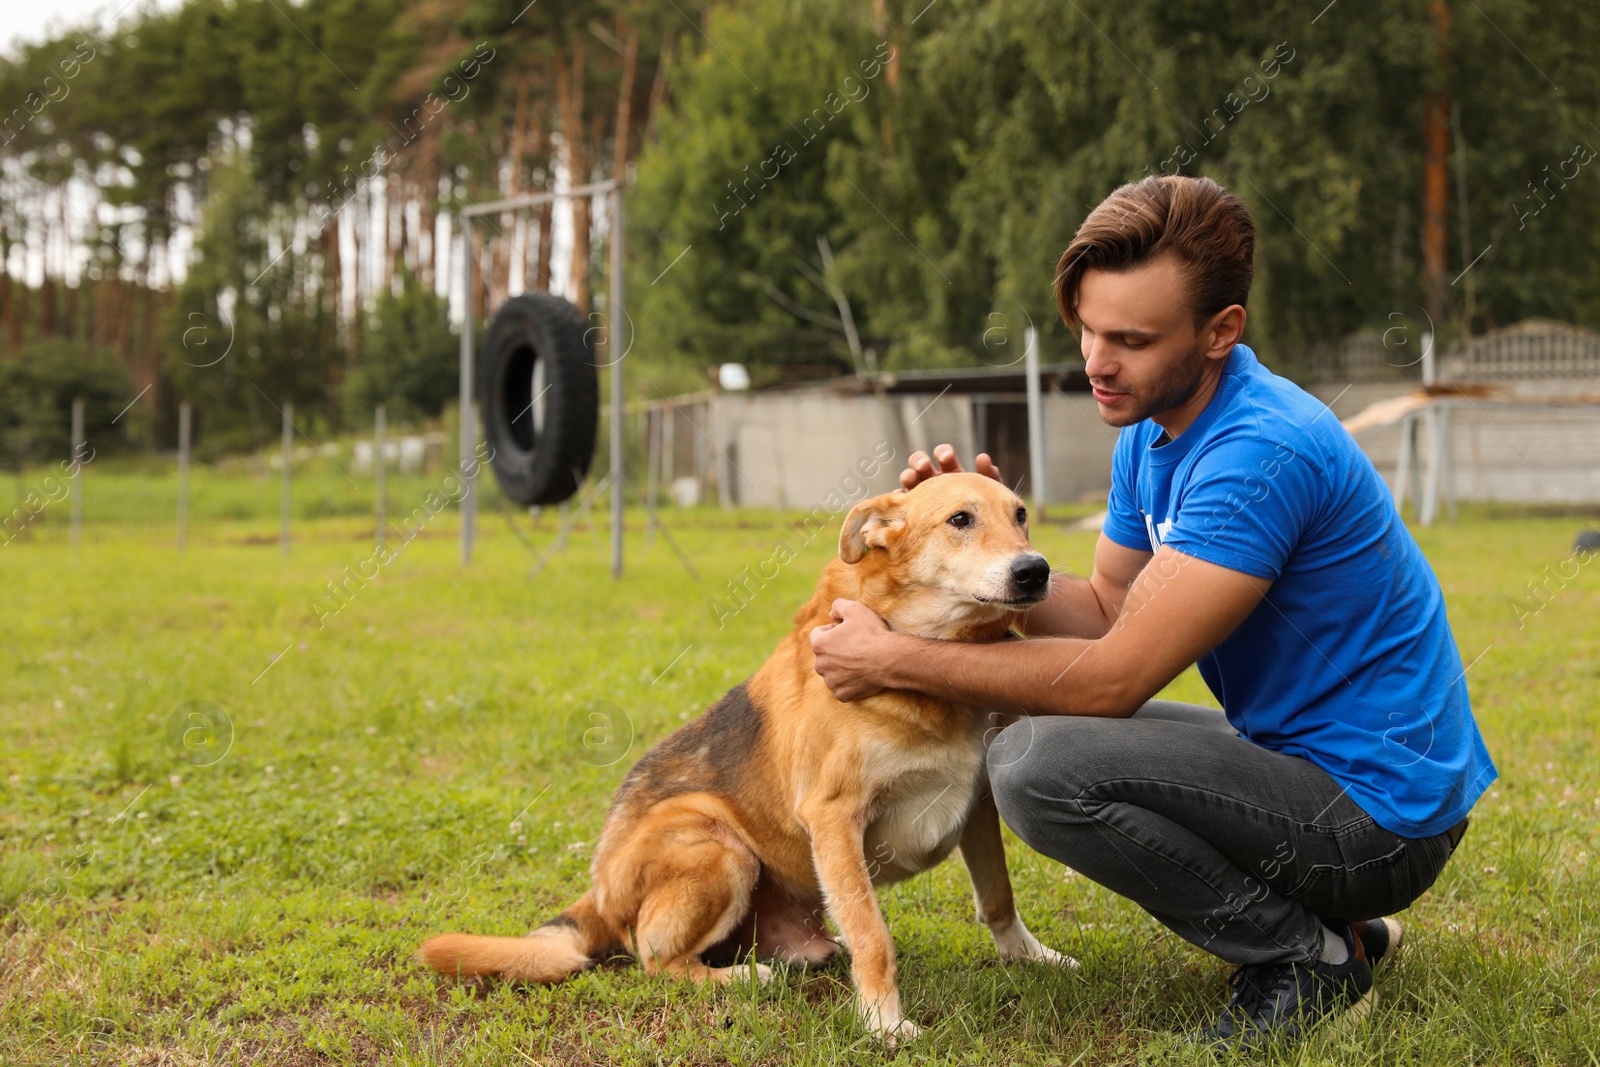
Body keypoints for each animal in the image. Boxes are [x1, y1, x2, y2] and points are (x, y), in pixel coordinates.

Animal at [422, 473, 1075, 1043]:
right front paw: (884, 1025)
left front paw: (1030, 957)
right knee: (654, 958)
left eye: (1020, 514)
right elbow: (873, 936)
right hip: (717, 844)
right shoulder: (834, 816)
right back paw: (740, 977)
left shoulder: (978, 800)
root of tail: (600, 889)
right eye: (959, 519)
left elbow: (998, 898)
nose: (1035, 570)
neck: (922, 655)